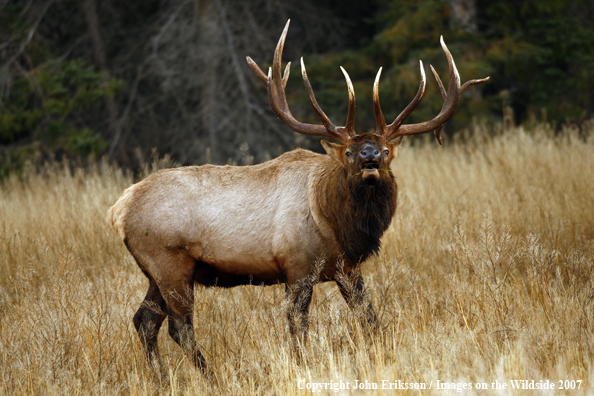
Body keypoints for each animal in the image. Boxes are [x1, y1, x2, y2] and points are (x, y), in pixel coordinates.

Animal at [106, 20, 486, 372]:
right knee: (179, 327)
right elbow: (298, 327)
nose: (370, 158)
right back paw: (209, 377)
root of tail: (119, 208)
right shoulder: (297, 267)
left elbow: (369, 319)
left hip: (156, 272)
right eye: (349, 152)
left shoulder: (347, 269)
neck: (336, 223)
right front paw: (303, 365)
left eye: (385, 150)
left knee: (144, 321)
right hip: (170, 262)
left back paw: (161, 378)